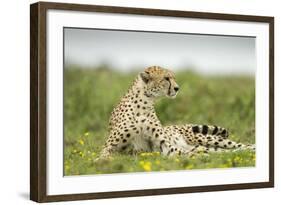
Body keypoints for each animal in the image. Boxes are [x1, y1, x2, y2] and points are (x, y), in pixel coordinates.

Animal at [99, 66, 255, 159]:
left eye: (174, 77)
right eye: (166, 78)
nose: (177, 88)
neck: (145, 103)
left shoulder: (164, 145)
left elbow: (181, 151)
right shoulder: (111, 146)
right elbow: (103, 154)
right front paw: (102, 161)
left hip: (206, 139)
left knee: (239, 146)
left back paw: (251, 148)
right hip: (209, 145)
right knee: (222, 151)